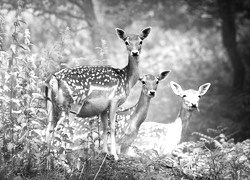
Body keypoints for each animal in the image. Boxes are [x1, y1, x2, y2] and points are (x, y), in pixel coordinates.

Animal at [45, 26, 151, 159]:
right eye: (126, 42)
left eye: (140, 41)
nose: (135, 52)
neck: (127, 79)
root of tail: (54, 79)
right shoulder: (115, 99)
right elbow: (112, 127)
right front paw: (115, 155)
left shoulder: (103, 107)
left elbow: (104, 127)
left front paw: (105, 153)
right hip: (72, 104)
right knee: (60, 128)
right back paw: (60, 157)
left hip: (52, 105)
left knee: (49, 127)